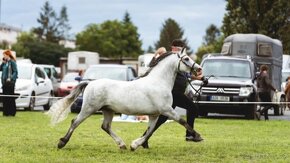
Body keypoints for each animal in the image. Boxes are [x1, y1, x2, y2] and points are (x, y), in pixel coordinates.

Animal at [47, 49, 202, 151]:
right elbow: (182, 122)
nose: (199, 69)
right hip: (89, 108)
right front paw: (198, 136)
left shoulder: (155, 114)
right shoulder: (167, 110)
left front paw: (135, 145)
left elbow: (150, 130)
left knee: (105, 126)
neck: (159, 82)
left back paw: (122, 145)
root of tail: (90, 83)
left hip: (108, 110)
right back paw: (62, 143)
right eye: (186, 59)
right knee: (75, 122)